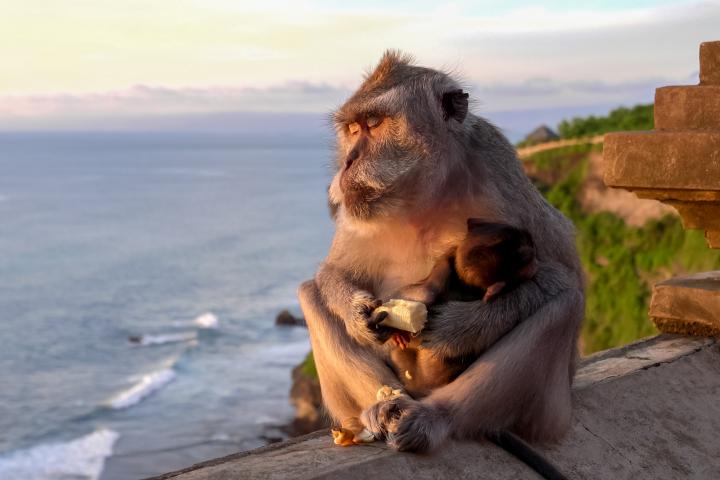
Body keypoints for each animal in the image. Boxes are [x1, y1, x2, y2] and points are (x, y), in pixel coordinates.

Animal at [297, 51, 584, 457]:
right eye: (352, 129)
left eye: (374, 123)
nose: (348, 161)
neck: (424, 196)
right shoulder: (356, 209)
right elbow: (333, 273)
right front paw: (357, 314)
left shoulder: (497, 165)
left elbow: (562, 273)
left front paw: (457, 327)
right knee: (310, 294)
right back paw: (383, 406)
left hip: (549, 410)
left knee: (564, 304)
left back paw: (435, 418)